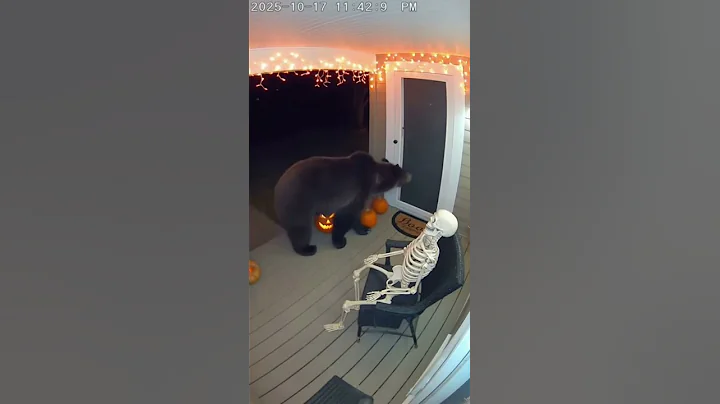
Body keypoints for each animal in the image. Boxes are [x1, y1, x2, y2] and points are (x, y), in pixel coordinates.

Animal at [274, 151, 412, 257]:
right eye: (403, 171)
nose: (410, 175)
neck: (374, 180)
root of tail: (277, 187)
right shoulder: (358, 190)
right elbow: (347, 216)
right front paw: (341, 241)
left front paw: (364, 228)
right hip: (299, 201)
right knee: (301, 228)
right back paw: (307, 248)